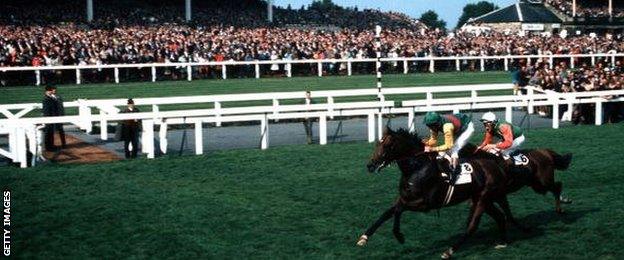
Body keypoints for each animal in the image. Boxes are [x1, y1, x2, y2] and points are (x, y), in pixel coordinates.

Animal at [358, 126, 572, 258]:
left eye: (387, 145)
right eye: (377, 143)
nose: (370, 165)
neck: (418, 167)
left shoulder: (426, 203)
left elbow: (398, 210)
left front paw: (399, 235)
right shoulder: (405, 197)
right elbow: (388, 212)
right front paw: (364, 237)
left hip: (519, 189)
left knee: (473, 226)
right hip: (485, 199)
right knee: (501, 217)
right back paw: (503, 241)